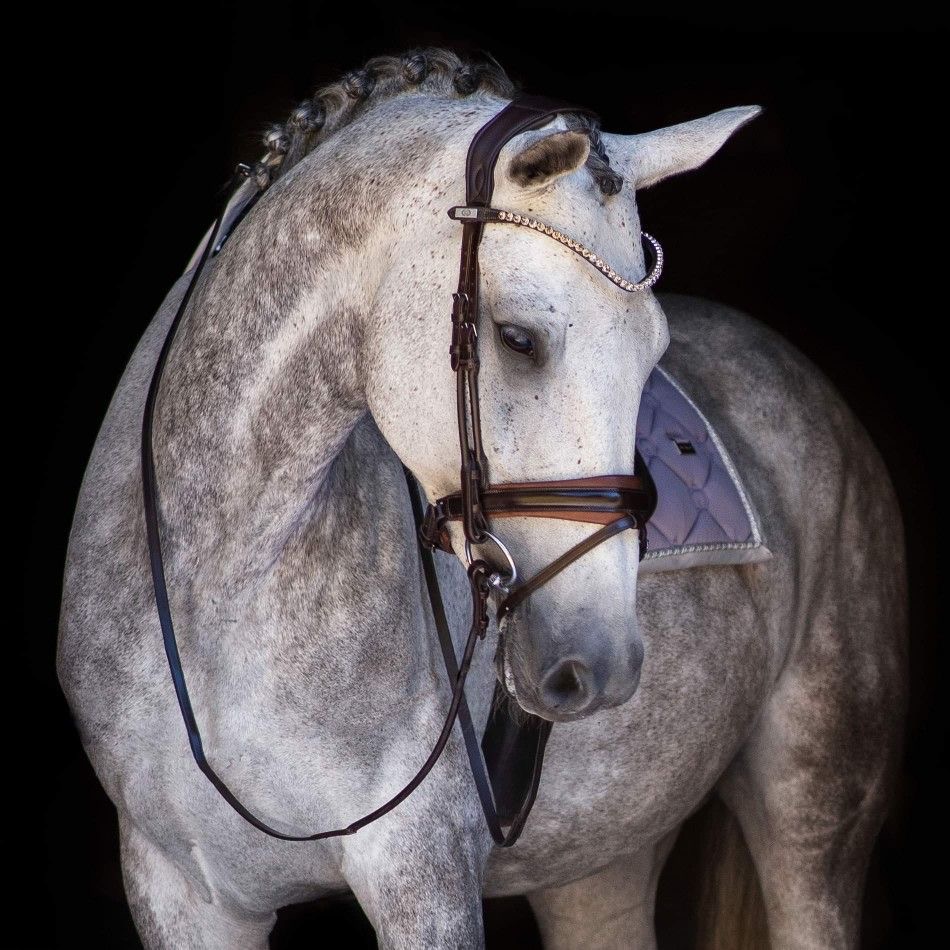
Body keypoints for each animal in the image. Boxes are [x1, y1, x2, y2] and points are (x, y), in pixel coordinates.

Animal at [56, 48, 907, 949]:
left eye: (653, 355)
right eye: (518, 339)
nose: (603, 662)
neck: (217, 594)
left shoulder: (422, 875)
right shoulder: (183, 892)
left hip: (813, 817)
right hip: (600, 862)